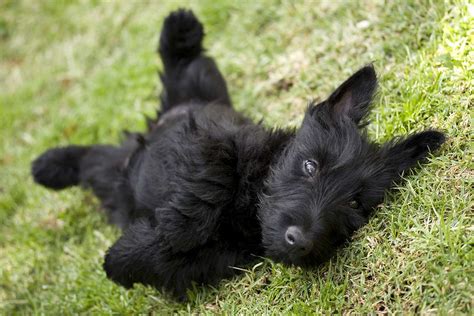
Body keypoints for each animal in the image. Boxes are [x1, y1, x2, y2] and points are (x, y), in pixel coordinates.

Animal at [31, 8, 446, 298]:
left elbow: (168, 261)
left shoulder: (221, 259)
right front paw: (172, 229)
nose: (300, 241)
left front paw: (122, 259)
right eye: (310, 165)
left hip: (116, 174)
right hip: (189, 101)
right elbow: (212, 173)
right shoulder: (207, 139)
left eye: (356, 204)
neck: (249, 212)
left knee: (94, 161)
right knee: (184, 65)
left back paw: (52, 168)